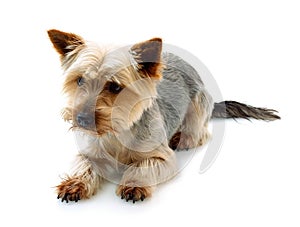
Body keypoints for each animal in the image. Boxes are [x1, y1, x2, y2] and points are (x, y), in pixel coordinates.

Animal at [48, 28, 280, 204]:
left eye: (114, 87)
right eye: (79, 80)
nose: (81, 119)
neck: (117, 132)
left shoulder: (162, 157)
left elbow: (144, 165)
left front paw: (134, 185)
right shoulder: (90, 150)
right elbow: (83, 163)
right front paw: (74, 184)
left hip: (198, 105)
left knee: (199, 133)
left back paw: (181, 137)